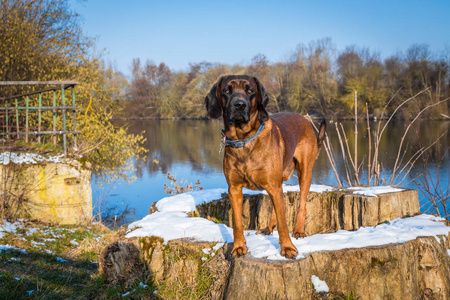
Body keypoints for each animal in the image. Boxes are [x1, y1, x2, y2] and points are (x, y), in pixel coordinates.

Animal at [206, 75, 326, 258]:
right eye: (227, 90)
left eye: (250, 90)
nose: (239, 105)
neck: (244, 140)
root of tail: (305, 119)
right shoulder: (234, 189)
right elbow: (237, 223)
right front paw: (238, 247)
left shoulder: (274, 185)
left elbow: (284, 223)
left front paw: (287, 248)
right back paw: (268, 228)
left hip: (305, 171)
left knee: (302, 204)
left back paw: (298, 230)